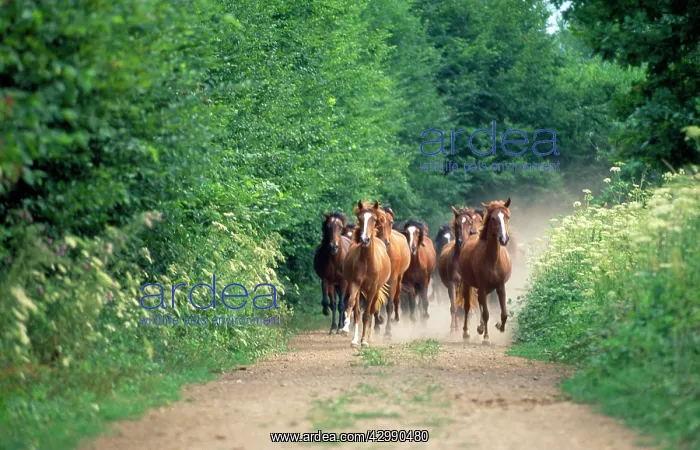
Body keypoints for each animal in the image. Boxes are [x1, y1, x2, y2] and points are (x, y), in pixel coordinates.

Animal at [341, 201, 392, 348]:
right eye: (360, 219)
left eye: (374, 219)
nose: (364, 239)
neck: (367, 260)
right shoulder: (355, 284)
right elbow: (353, 307)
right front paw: (348, 332)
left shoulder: (373, 288)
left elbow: (367, 314)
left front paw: (364, 341)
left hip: (376, 290)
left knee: (373, 309)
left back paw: (369, 338)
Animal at [373, 204, 411, 338]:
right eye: (376, 222)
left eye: (391, 221)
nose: (385, 242)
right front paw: (378, 323)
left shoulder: (392, 278)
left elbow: (389, 304)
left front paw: (388, 331)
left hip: (399, 278)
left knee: (396, 298)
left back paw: (396, 319)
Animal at [457, 198, 513, 344]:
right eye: (493, 218)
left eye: (507, 217)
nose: (504, 239)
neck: (492, 259)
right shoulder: (481, 286)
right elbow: (486, 313)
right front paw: (486, 337)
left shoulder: (500, 286)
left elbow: (504, 313)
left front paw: (499, 326)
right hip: (467, 284)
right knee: (468, 306)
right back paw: (466, 332)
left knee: (481, 302)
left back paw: (480, 327)